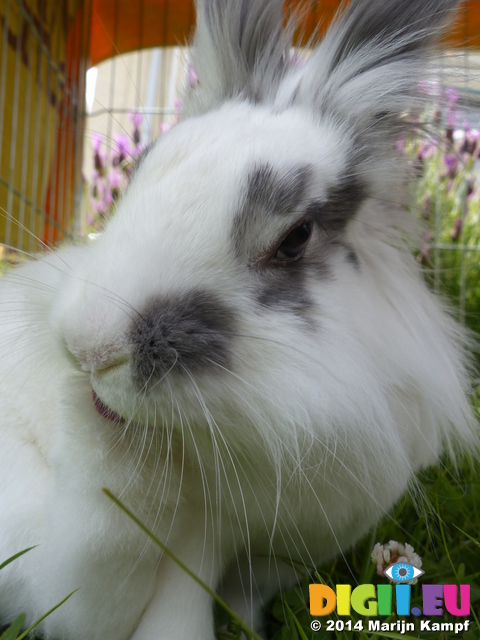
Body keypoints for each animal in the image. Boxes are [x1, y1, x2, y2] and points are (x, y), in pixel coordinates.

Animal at [0, 0, 476, 636]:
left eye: (295, 237)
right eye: (139, 176)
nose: (88, 347)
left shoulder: (274, 558)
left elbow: (237, 595)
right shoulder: (183, 547)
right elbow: (141, 602)